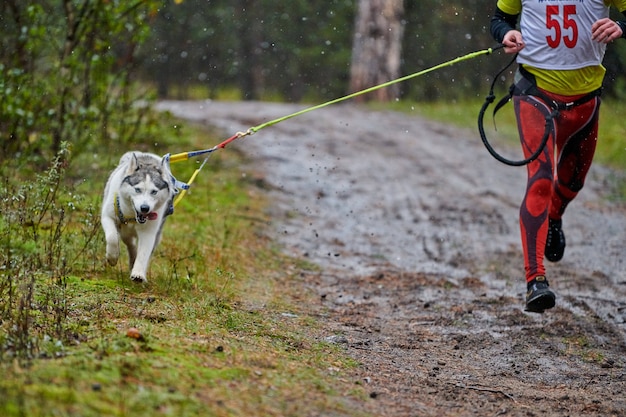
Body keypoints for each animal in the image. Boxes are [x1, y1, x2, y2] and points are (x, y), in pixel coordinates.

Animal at [100, 153, 174, 282]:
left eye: (154, 191)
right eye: (137, 189)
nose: (145, 208)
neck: (132, 217)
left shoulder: (149, 232)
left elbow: (144, 253)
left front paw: (138, 273)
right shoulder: (107, 216)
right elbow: (112, 237)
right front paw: (112, 257)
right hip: (124, 232)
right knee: (129, 242)